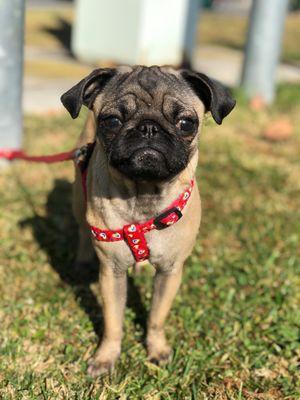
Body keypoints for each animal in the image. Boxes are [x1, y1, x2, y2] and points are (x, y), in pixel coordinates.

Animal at [60, 65, 234, 376]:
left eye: (186, 123)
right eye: (112, 120)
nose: (148, 127)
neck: (143, 193)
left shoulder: (170, 271)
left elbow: (156, 317)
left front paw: (157, 349)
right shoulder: (112, 273)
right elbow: (113, 322)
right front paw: (106, 357)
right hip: (79, 201)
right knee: (81, 231)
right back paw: (81, 262)